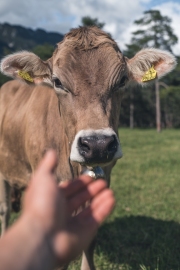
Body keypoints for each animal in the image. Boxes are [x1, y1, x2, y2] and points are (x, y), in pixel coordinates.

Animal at [0, 26, 176, 270]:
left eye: (122, 80)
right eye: (57, 81)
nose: (97, 144)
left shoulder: (105, 177)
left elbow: (90, 236)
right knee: (5, 210)